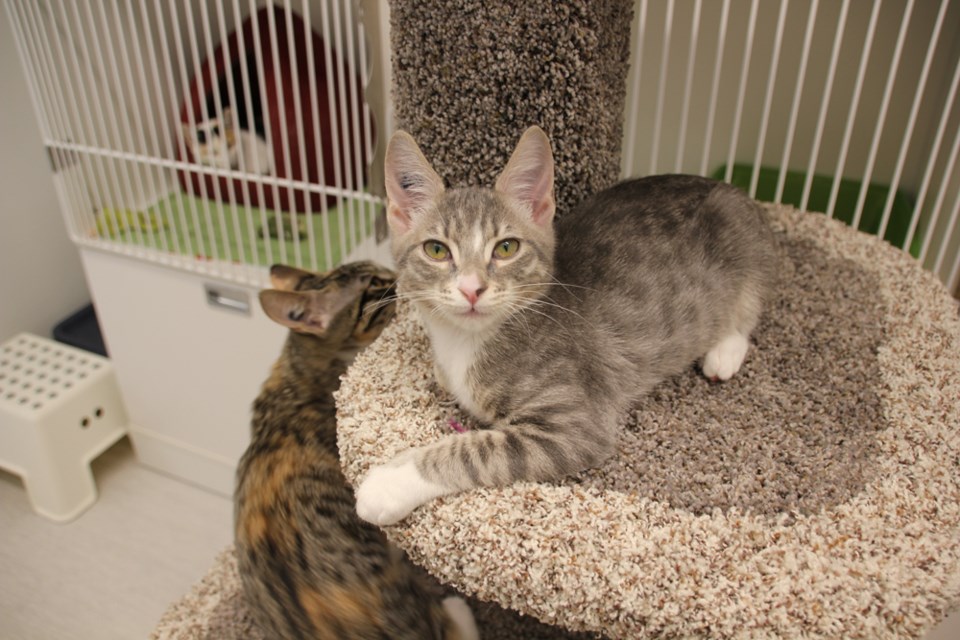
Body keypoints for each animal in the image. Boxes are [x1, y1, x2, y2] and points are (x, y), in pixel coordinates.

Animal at [356, 127, 776, 528]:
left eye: (506, 248)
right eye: (436, 250)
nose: (472, 288)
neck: (467, 341)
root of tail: (733, 190)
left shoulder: (575, 425)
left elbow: (477, 450)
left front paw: (389, 483)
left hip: (746, 252)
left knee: (751, 302)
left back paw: (725, 350)